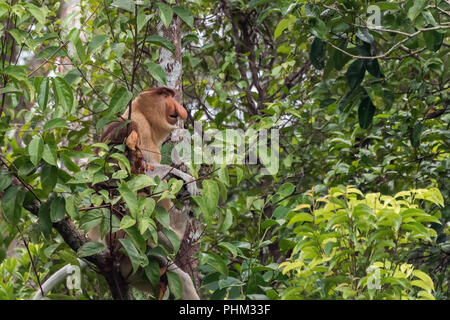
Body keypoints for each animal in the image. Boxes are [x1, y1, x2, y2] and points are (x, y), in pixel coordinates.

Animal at [89, 86, 199, 298]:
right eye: (165, 95)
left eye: (171, 95)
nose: (180, 109)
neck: (145, 120)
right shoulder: (127, 128)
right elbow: (110, 176)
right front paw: (184, 177)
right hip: (123, 236)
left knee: (182, 281)